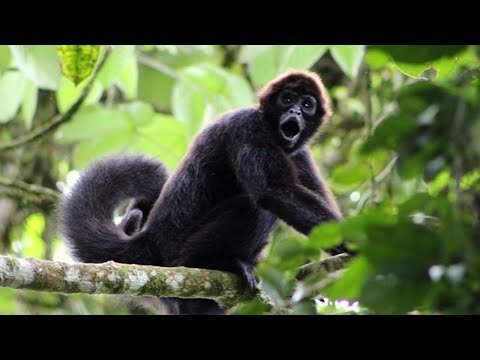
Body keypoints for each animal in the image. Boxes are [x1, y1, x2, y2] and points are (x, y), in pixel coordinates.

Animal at [60, 70, 348, 316]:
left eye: (307, 105)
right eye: (286, 98)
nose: (295, 111)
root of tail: (150, 240)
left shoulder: (299, 152)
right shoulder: (248, 126)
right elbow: (274, 192)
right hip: (181, 252)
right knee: (253, 207)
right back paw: (221, 263)